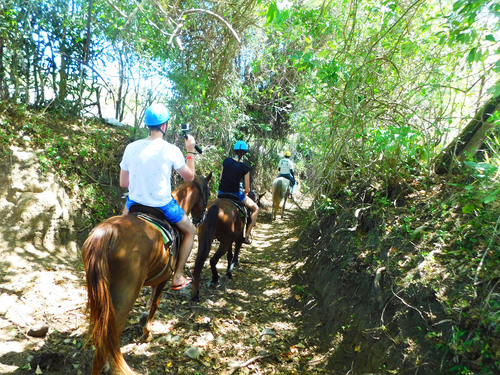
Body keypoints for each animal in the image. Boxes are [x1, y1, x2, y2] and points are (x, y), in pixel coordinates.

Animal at [81, 175, 210, 375]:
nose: (201, 217)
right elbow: (155, 305)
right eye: (208, 193)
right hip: (125, 294)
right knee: (111, 333)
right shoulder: (164, 278)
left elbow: (150, 302)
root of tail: (108, 233)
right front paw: (147, 333)